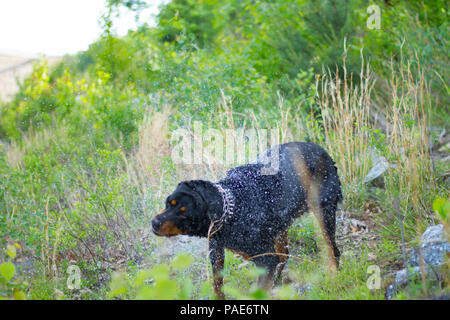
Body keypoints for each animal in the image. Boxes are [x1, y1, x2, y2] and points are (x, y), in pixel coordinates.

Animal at [151, 142, 342, 298]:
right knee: (283, 255)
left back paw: (332, 277)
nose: (155, 223)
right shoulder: (216, 251)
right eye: (168, 202)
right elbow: (217, 285)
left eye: (184, 214)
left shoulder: (264, 259)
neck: (232, 207)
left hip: (323, 212)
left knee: (332, 249)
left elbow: (258, 290)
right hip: (280, 227)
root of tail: (323, 151)